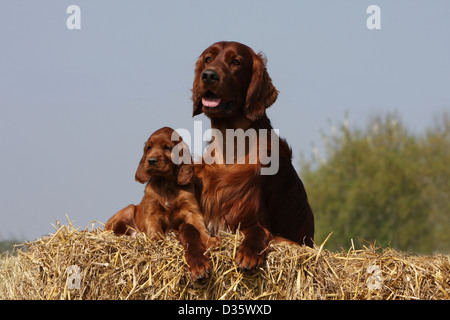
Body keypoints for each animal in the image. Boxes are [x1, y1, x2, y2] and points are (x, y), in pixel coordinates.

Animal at [105, 127, 218, 280]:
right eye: (149, 148)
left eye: (167, 147)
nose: (151, 160)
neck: (166, 183)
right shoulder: (151, 213)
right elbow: (155, 229)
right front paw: (156, 241)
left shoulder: (191, 210)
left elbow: (200, 226)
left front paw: (209, 240)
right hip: (127, 211)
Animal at [192, 40, 314, 270]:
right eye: (208, 58)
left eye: (236, 62)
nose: (209, 75)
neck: (231, 145)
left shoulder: (249, 216)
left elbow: (259, 231)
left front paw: (249, 253)